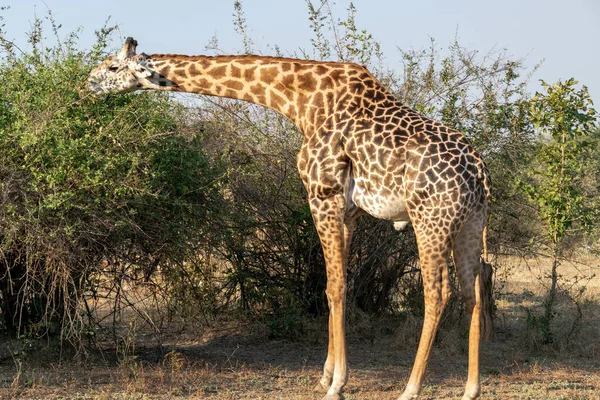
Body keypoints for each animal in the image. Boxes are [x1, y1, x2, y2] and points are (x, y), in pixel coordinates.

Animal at [88, 37, 492, 400]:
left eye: (113, 66)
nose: (89, 82)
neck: (301, 101)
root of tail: (479, 173)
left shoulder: (322, 195)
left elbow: (334, 287)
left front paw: (337, 385)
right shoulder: (349, 210)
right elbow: (337, 284)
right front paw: (326, 376)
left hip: (430, 220)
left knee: (438, 293)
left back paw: (410, 389)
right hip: (470, 224)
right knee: (472, 290)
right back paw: (471, 389)